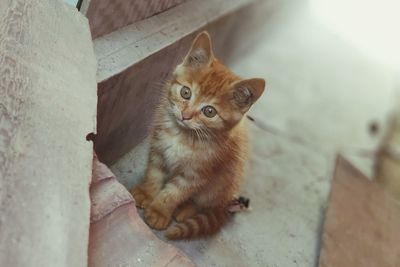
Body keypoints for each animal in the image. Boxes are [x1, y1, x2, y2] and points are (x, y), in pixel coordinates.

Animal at [131, 31, 266, 241]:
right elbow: (153, 173)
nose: (185, 115)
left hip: (220, 184)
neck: (182, 136)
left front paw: (160, 211)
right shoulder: (158, 148)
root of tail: (227, 201)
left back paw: (185, 210)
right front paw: (146, 193)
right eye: (186, 92)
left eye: (209, 111)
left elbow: (175, 193)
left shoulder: (196, 174)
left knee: (202, 202)